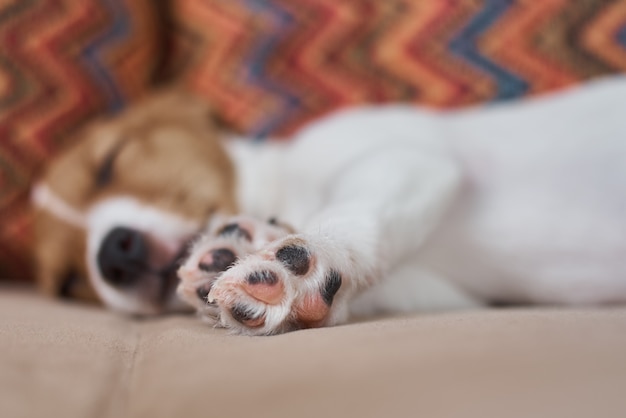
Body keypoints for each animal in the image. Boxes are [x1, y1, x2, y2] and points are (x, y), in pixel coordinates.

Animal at [33, 77, 624, 334]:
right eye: (68, 280)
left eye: (109, 163)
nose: (113, 254)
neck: (287, 190)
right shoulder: (438, 289)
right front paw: (234, 250)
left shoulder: (409, 159)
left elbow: (355, 216)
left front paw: (293, 262)